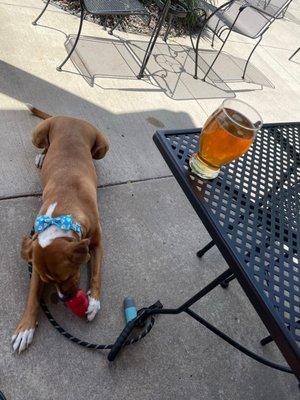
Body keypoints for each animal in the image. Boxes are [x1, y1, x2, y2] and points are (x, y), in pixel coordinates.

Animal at [12, 105, 110, 354]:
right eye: (48, 279)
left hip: (102, 146)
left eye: (67, 275)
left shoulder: (97, 243)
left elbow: (96, 273)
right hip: (38, 133)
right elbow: (32, 297)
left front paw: (94, 302)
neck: (61, 216)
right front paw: (25, 328)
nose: (64, 298)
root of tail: (68, 117)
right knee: (45, 145)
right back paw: (41, 156)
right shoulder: (36, 262)